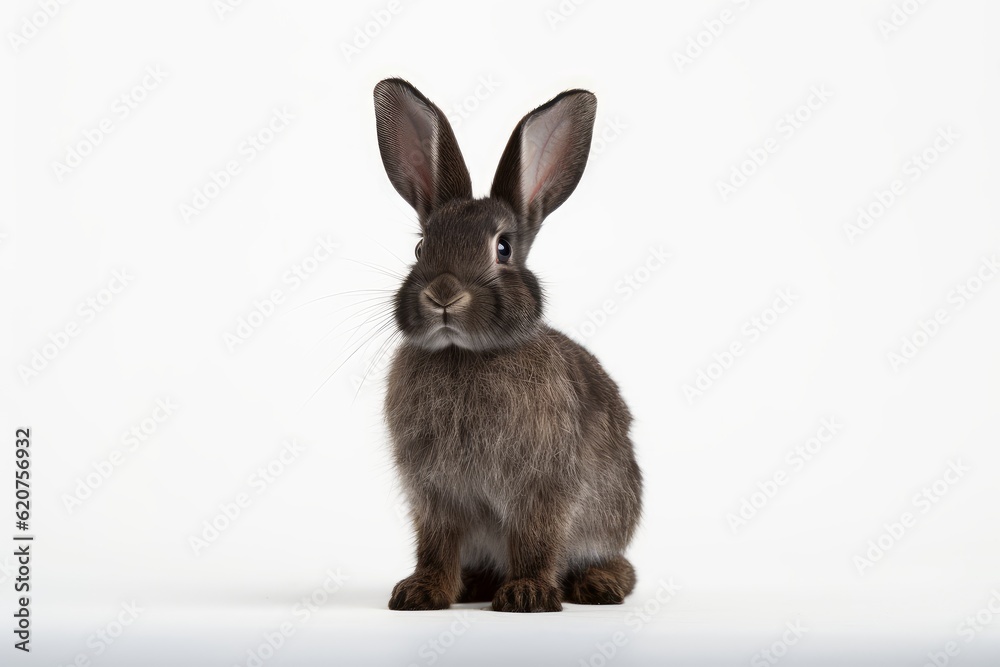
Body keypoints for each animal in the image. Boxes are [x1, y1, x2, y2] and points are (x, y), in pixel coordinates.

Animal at [373, 78, 642, 613]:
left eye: (503, 248)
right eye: (420, 247)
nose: (443, 294)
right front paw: (421, 592)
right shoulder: (436, 497)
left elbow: (536, 540)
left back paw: (597, 584)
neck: (464, 355)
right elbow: (436, 545)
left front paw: (527, 595)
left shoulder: (543, 489)